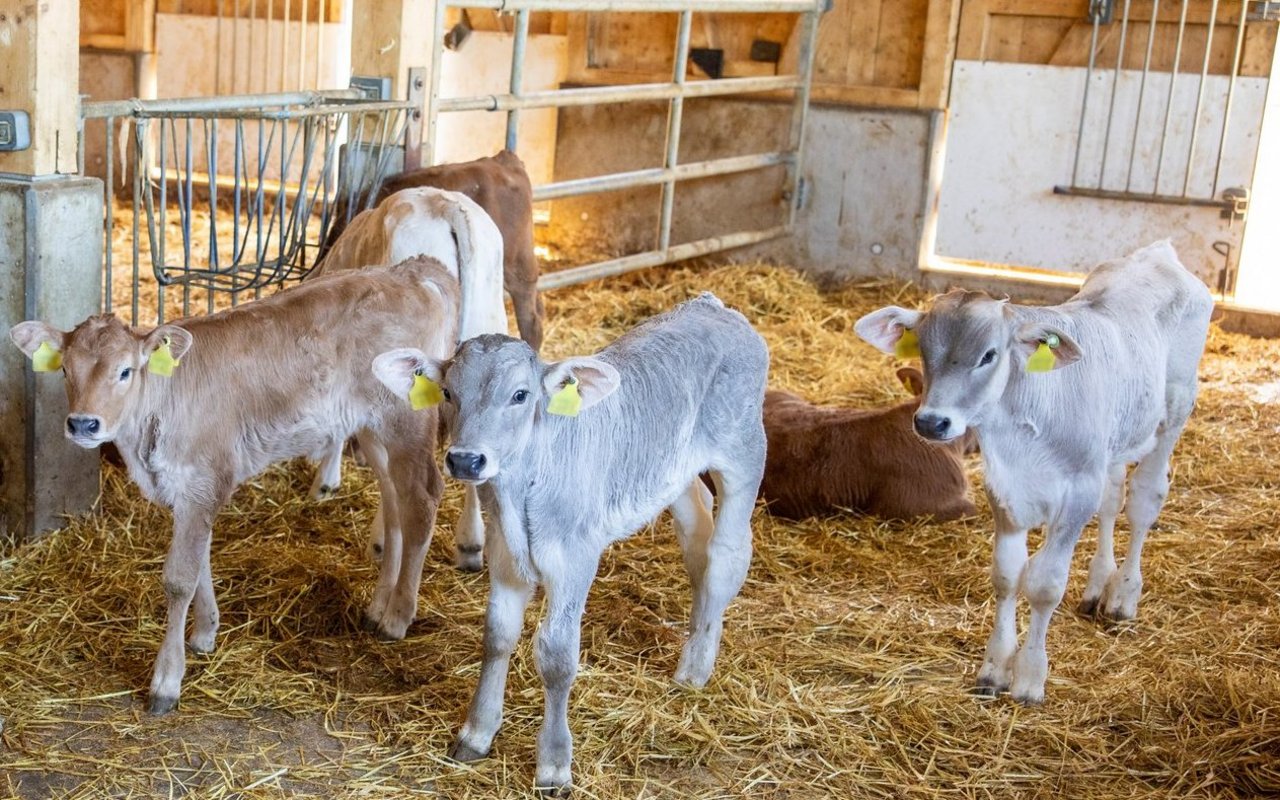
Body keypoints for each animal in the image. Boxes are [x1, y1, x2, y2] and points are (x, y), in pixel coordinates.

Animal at [373, 293, 762, 793]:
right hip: (671, 473)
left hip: (744, 452)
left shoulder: (575, 558)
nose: (465, 459)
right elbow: (497, 636)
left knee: (726, 554)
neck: (521, 493)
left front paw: (554, 765)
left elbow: (557, 656)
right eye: (448, 393)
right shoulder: (505, 557)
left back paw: (695, 670)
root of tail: (712, 305)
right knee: (697, 534)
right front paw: (476, 734)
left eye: (520, 395)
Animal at [860, 240, 1208, 701]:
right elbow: (1007, 576)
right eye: (923, 349)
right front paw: (993, 669)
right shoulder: (1003, 488)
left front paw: (1028, 678)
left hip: (1174, 410)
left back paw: (1123, 595)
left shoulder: (1077, 491)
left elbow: (1043, 585)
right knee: (1112, 500)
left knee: (1142, 502)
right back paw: (1098, 586)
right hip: (1113, 442)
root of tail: (1159, 252)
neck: (1020, 431)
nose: (932, 422)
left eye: (989, 355)